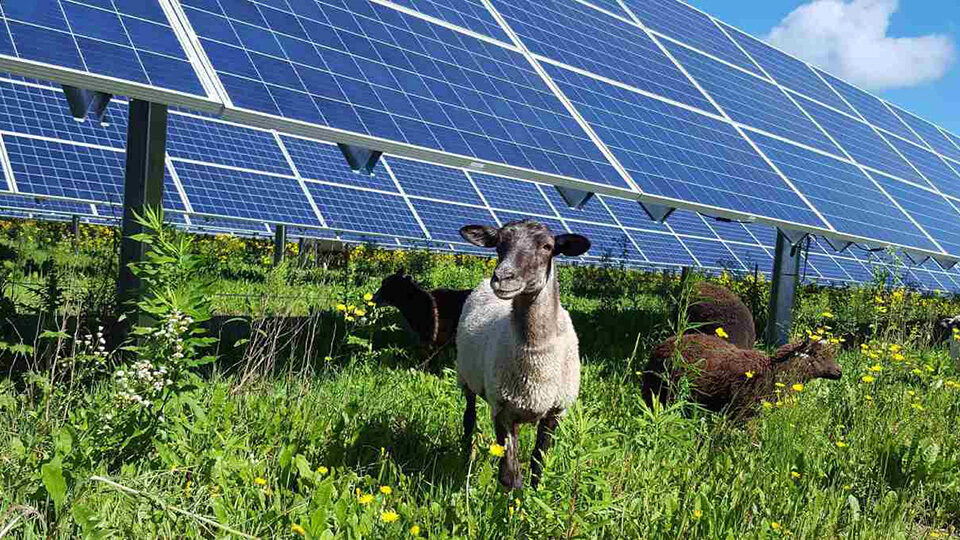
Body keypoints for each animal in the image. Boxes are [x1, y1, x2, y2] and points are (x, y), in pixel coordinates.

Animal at [644, 334, 840, 418]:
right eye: (818, 355)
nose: (840, 372)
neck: (772, 372)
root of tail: (661, 345)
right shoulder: (742, 412)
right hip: (658, 391)